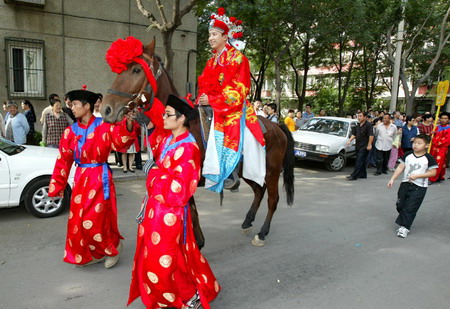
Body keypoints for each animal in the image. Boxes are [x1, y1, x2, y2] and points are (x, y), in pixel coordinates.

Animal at [102, 39, 296, 245]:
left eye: (137, 70)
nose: (106, 109)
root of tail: (277, 126)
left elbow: (191, 209)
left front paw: (197, 242)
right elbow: (191, 209)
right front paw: (197, 240)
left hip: (272, 170)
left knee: (272, 199)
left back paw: (262, 232)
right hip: (248, 171)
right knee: (259, 191)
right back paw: (247, 221)